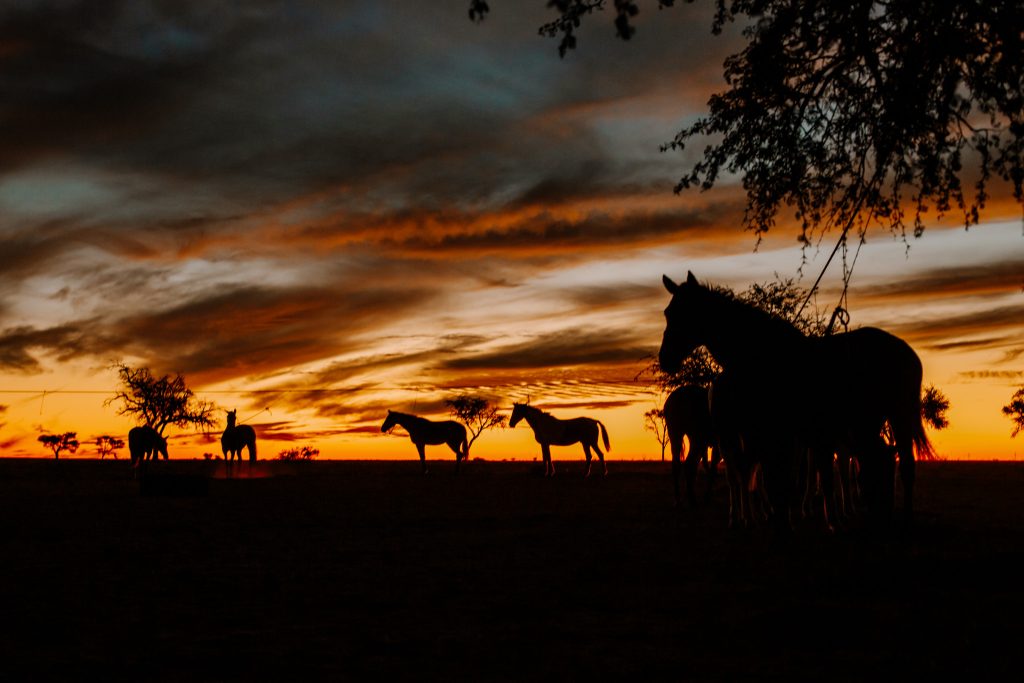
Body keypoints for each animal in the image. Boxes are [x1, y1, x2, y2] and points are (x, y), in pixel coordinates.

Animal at [660, 271, 931, 531]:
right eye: (667, 312)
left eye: (684, 312)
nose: (665, 358)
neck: (762, 355)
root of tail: (908, 353)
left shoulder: (788, 436)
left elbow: (786, 482)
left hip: (897, 416)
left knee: (901, 465)